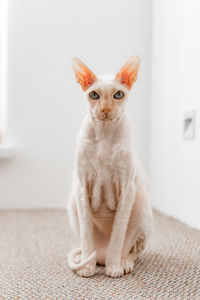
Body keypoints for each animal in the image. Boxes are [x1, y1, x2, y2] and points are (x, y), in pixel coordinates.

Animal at [67, 55, 153, 278]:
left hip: (143, 209)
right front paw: (87, 269)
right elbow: (86, 235)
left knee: (133, 250)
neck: (105, 137)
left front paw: (114, 267)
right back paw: (85, 260)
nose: (105, 109)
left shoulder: (127, 187)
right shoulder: (81, 186)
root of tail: (101, 256)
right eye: (94, 95)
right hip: (72, 204)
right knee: (86, 245)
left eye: (118, 94)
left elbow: (117, 235)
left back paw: (123, 262)